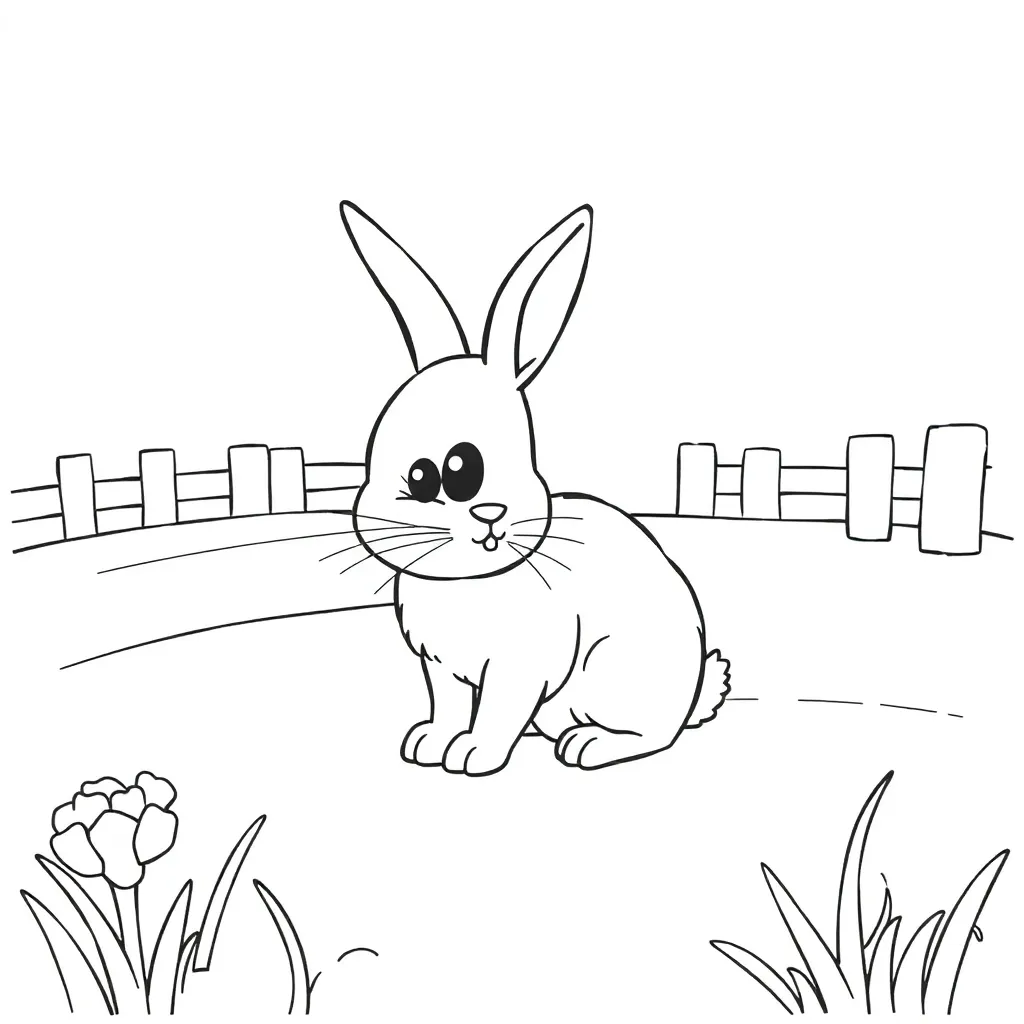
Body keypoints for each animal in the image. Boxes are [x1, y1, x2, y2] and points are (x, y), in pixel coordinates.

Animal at [339, 200, 730, 775]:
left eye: (452, 472)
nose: (365, 516)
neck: (470, 580)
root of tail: (693, 691)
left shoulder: (520, 665)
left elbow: (498, 711)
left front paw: (473, 755)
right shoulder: (440, 666)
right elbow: (449, 706)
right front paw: (429, 744)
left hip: (616, 674)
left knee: (652, 735)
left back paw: (590, 745)